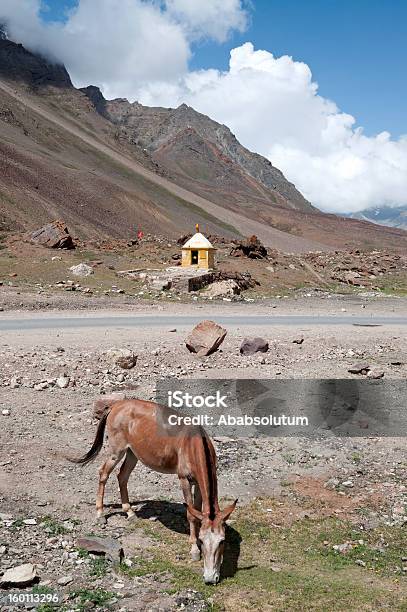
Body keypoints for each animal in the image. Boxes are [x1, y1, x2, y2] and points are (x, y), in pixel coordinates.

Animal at [71, 396, 237, 584]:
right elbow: (190, 514)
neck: (193, 443)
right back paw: (100, 514)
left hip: (132, 453)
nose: (210, 579)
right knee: (103, 473)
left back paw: (130, 513)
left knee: (122, 476)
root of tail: (116, 405)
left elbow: (197, 510)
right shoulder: (184, 480)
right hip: (116, 450)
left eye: (222, 541)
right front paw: (194, 551)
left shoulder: (198, 483)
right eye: (202, 540)